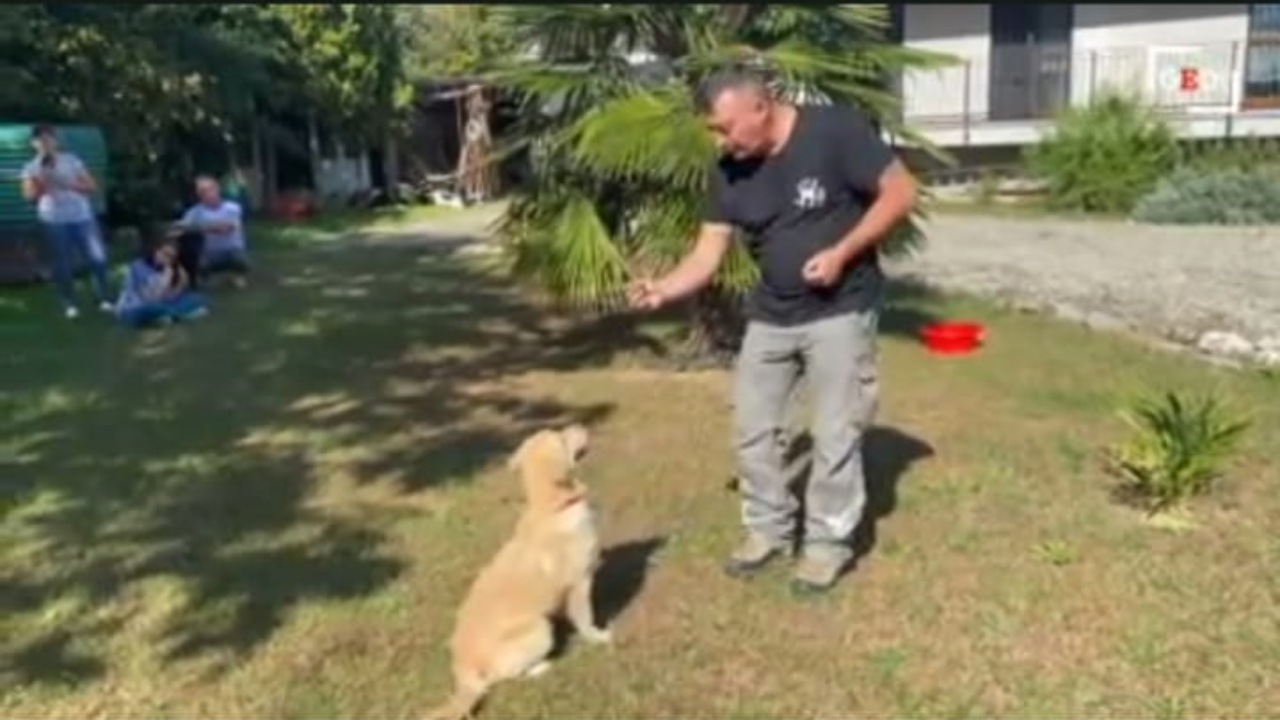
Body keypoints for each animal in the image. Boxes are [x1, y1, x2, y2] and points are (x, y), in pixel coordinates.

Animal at [424, 420, 609, 717]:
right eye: (562, 436)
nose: (582, 425)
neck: (553, 507)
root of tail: (464, 672)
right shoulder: (580, 583)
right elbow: (585, 617)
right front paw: (598, 637)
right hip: (540, 629)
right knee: (503, 678)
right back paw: (541, 667)